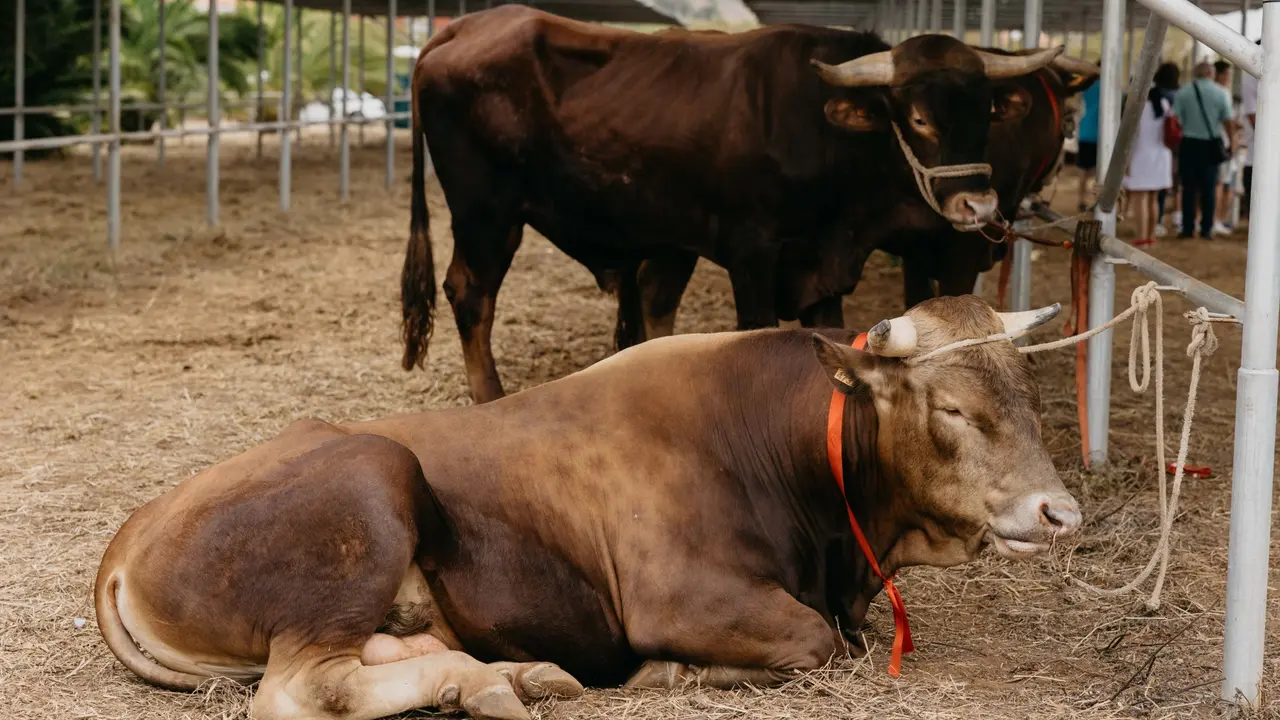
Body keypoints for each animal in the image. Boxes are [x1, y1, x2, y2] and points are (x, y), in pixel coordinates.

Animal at [96, 294, 1082, 720]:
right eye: (951, 407)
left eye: (1029, 390)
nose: (1061, 513)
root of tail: (131, 534)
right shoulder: (682, 597)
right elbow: (818, 643)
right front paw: (667, 675)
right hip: (371, 484)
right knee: (303, 690)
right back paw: (493, 687)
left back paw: (505, 675)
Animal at [398, 6, 1066, 403]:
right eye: (920, 117)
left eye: (986, 114)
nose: (978, 204)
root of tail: (462, 28)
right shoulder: (754, 252)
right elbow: (756, 331)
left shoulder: (822, 266)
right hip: (487, 214)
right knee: (471, 293)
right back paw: (490, 394)